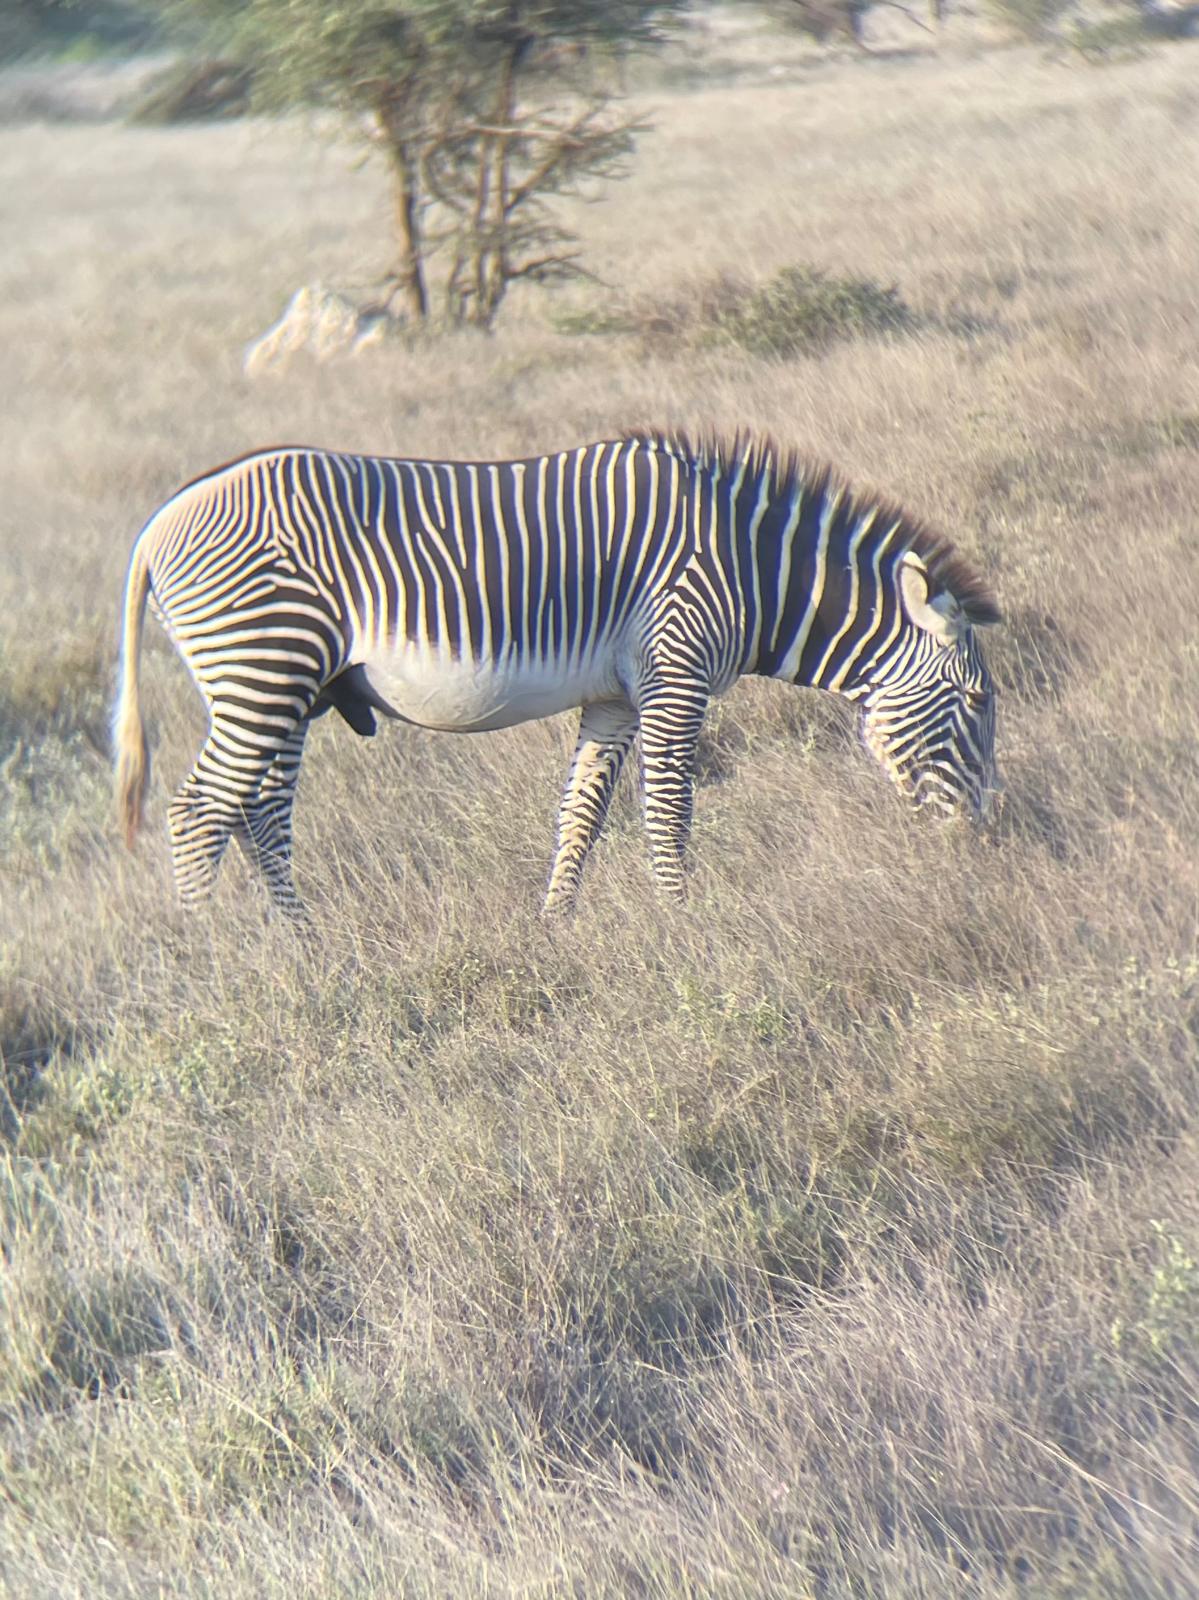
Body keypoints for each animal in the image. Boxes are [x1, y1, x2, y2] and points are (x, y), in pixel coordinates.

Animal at [113, 430, 1000, 915]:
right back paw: (207, 958)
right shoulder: (674, 672)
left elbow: (582, 811)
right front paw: (686, 925)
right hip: (266, 665)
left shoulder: (614, 697)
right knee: (199, 811)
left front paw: (556, 924)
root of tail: (155, 525)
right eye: (977, 700)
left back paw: (302, 946)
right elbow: (667, 810)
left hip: (288, 685)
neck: (748, 570)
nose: (980, 843)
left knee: (258, 814)